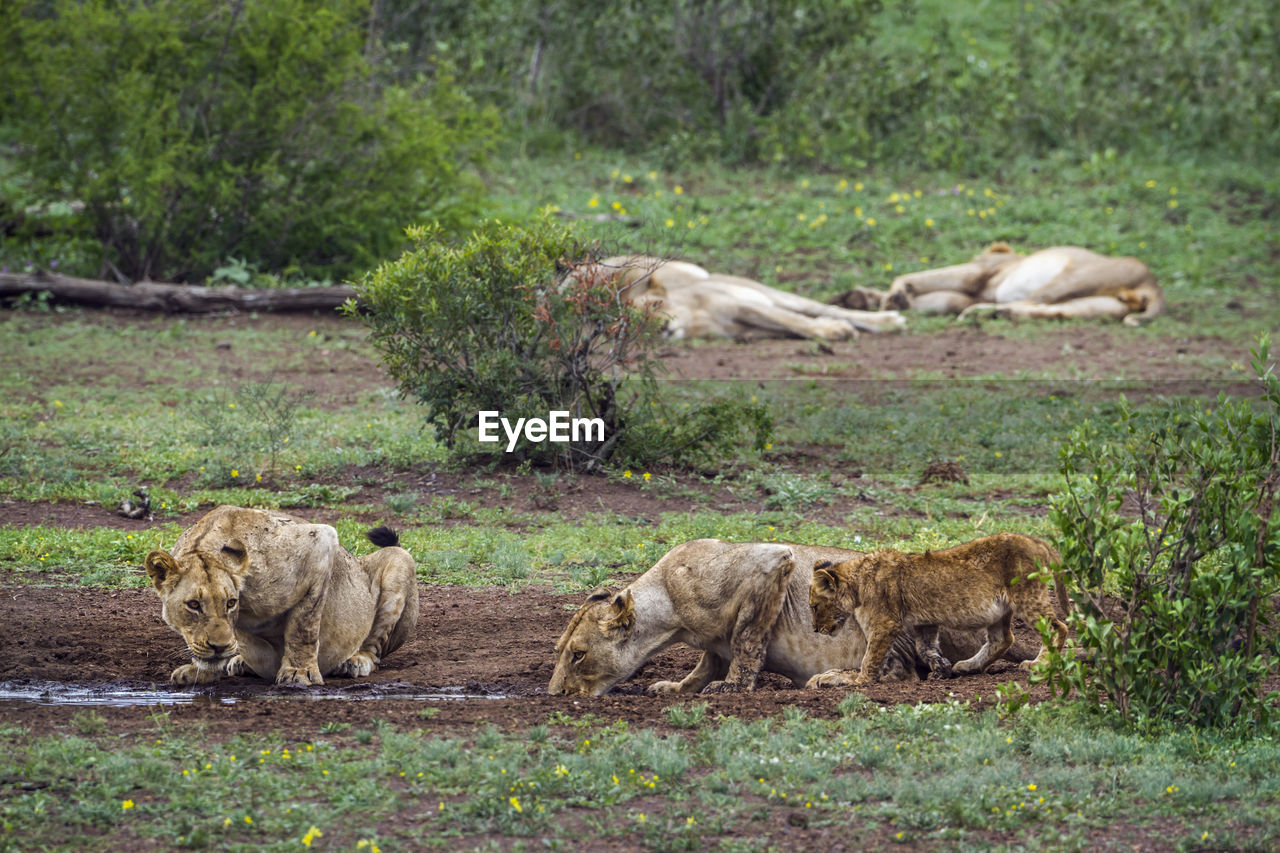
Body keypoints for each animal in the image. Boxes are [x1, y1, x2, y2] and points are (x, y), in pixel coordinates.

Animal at [145, 504, 417, 686]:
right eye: (193, 605)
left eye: (231, 603)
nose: (220, 647)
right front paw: (199, 671)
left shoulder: (319, 543)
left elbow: (303, 626)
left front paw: (299, 672)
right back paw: (240, 662)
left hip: (400, 560)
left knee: (374, 647)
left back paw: (356, 661)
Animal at [545, 535, 1034, 696]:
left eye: (577, 655)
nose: (555, 694)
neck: (667, 605)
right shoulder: (712, 642)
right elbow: (707, 662)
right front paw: (678, 687)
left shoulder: (771, 563)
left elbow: (746, 643)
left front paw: (732, 688)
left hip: (882, 609)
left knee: (901, 672)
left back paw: (832, 678)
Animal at [586, 253, 906, 340]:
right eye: (637, 322)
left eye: (656, 304)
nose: (664, 328)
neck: (691, 319)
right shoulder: (739, 329)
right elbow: (792, 326)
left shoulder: (741, 304)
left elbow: (794, 321)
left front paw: (834, 330)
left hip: (766, 291)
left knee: (822, 307)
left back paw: (888, 319)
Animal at [808, 532, 1070, 686]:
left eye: (814, 606)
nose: (815, 630)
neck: (857, 581)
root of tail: (1036, 541)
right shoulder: (924, 623)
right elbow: (925, 649)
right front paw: (941, 670)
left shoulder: (885, 623)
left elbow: (871, 656)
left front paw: (858, 680)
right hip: (1000, 610)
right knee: (1003, 639)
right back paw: (967, 666)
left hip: (1027, 596)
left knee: (1058, 627)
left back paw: (1040, 664)